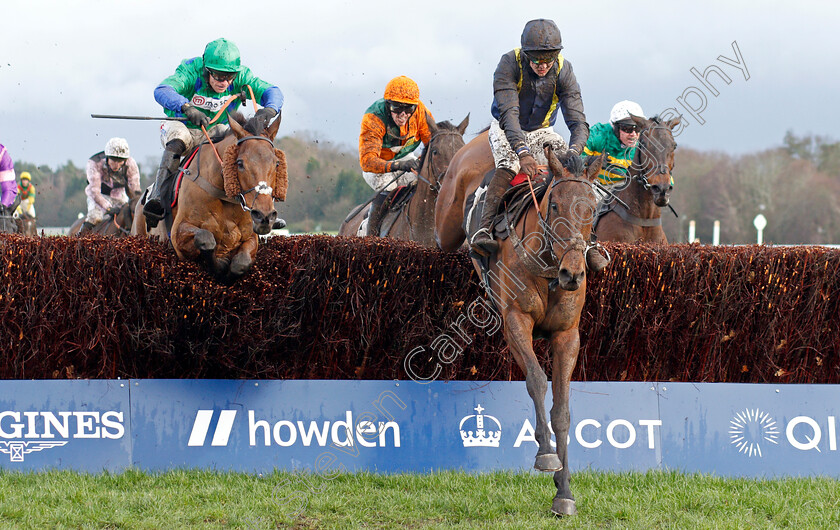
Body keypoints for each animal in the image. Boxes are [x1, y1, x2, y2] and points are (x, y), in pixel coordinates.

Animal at [131, 114, 288, 282]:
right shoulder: (178, 235)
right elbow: (206, 239)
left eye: (277, 163)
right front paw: (219, 263)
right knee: (176, 142)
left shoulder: (250, 236)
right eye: (240, 163)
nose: (264, 216)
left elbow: (241, 262)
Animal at [434, 130, 604, 512]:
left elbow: (562, 408)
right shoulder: (515, 321)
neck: (549, 268)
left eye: (592, 208)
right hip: (447, 220)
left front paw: (564, 492)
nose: (573, 274)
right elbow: (537, 381)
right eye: (554, 206)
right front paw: (545, 455)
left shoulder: (567, 334)